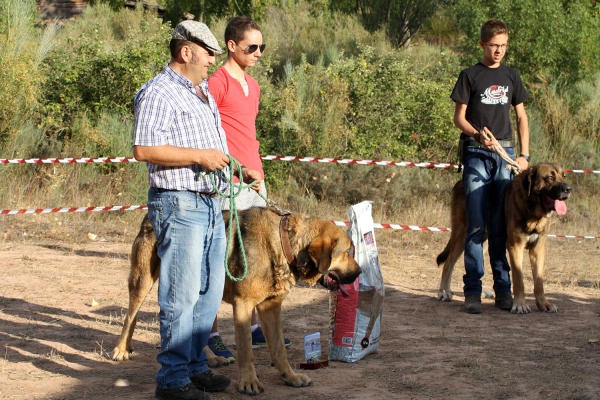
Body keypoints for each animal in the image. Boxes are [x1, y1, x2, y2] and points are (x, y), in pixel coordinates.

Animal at [115, 206, 364, 394]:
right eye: (347, 252)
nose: (361, 272)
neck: (284, 243)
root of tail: (149, 213)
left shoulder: (271, 307)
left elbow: (278, 349)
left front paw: (290, 377)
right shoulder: (244, 306)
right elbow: (246, 350)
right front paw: (249, 382)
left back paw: (210, 359)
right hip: (143, 281)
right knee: (130, 316)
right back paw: (121, 349)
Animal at [436, 162, 572, 312]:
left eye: (564, 176)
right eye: (550, 177)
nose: (568, 189)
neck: (532, 210)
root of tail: (459, 183)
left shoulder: (538, 249)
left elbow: (539, 281)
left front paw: (543, 304)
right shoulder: (516, 247)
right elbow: (518, 279)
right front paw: (520, 305)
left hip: (483, 241)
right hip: (462, 235)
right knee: (448, 264)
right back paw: (444, 292)